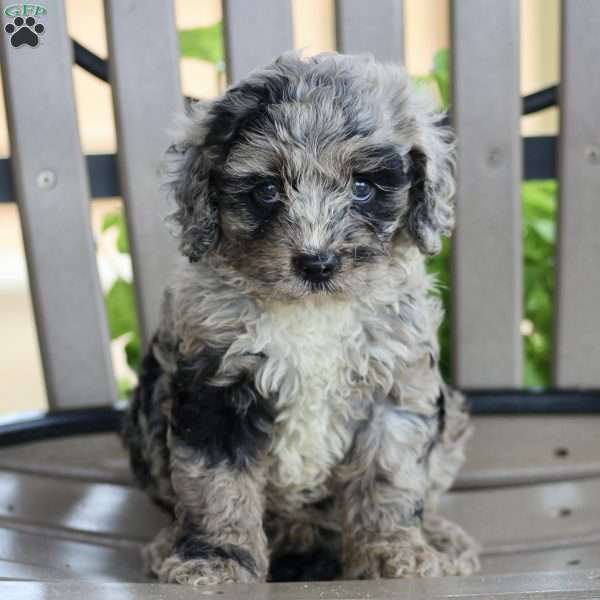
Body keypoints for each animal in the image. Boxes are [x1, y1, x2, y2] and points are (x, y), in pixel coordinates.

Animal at [124, 52, 480, 584]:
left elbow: (389, 481)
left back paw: (440, 538)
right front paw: (216, 558)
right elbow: (216, 486)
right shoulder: (214, 389)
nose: (316, 263)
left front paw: (393, 554)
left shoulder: (395, 388)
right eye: (267, 189)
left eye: (362, 187)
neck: (314, 311)